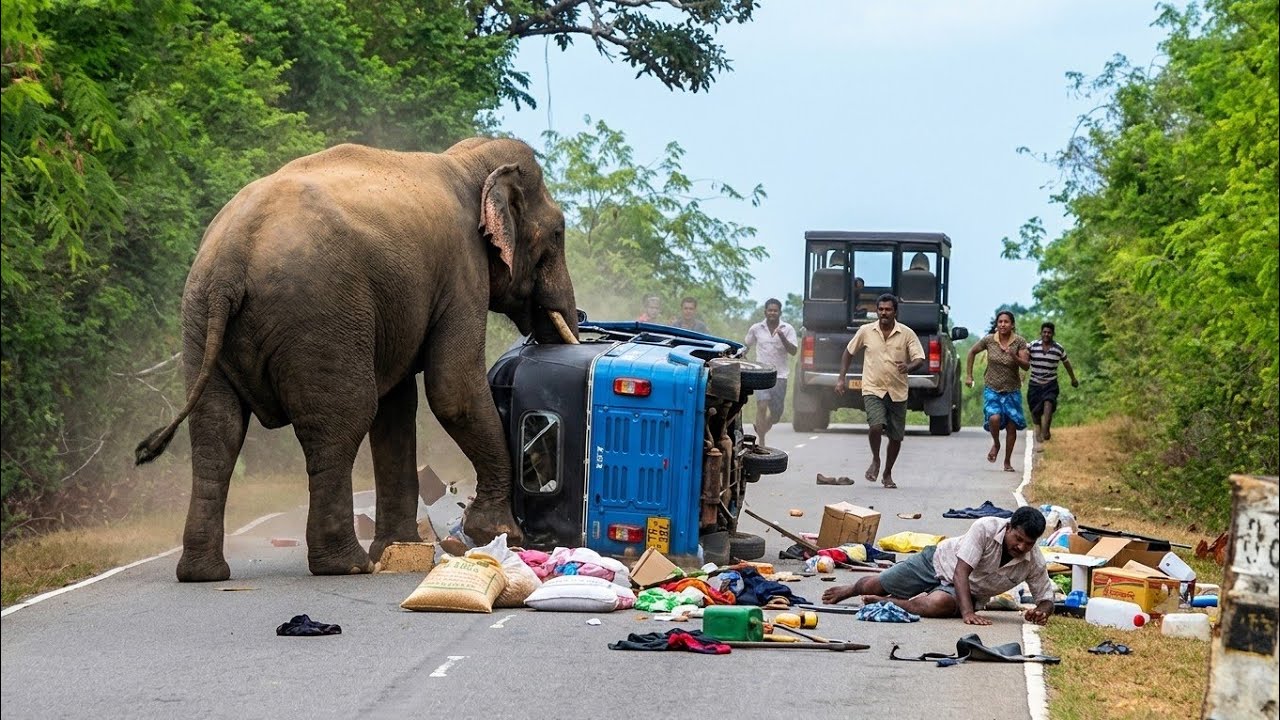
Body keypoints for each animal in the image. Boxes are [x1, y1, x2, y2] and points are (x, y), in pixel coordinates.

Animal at [135, 137, 579, 582]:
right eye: (558, 233)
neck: (468, 160)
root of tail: (230, 258)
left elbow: (397, 407)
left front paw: (402, 549)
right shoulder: (462, 269)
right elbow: (452, 391)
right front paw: (498, 534)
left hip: (200, 318)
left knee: (216, 430)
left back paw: (204, 573)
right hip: (320, 315)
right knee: (341, 419)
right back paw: (347, 565)